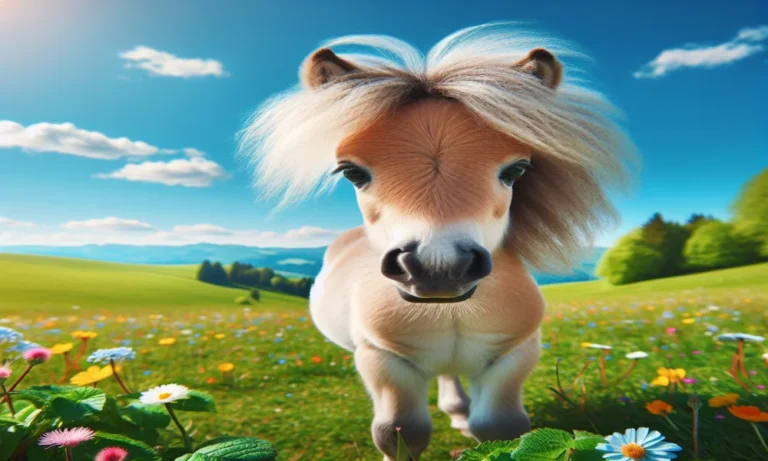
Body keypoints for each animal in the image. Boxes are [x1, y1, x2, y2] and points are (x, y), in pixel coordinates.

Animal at [240, 23, 635, 461]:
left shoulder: (515, 352)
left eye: (516, 170)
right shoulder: (382, 360)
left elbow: (501, 427)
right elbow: (400, 432)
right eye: (351, 172)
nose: (438, 267)